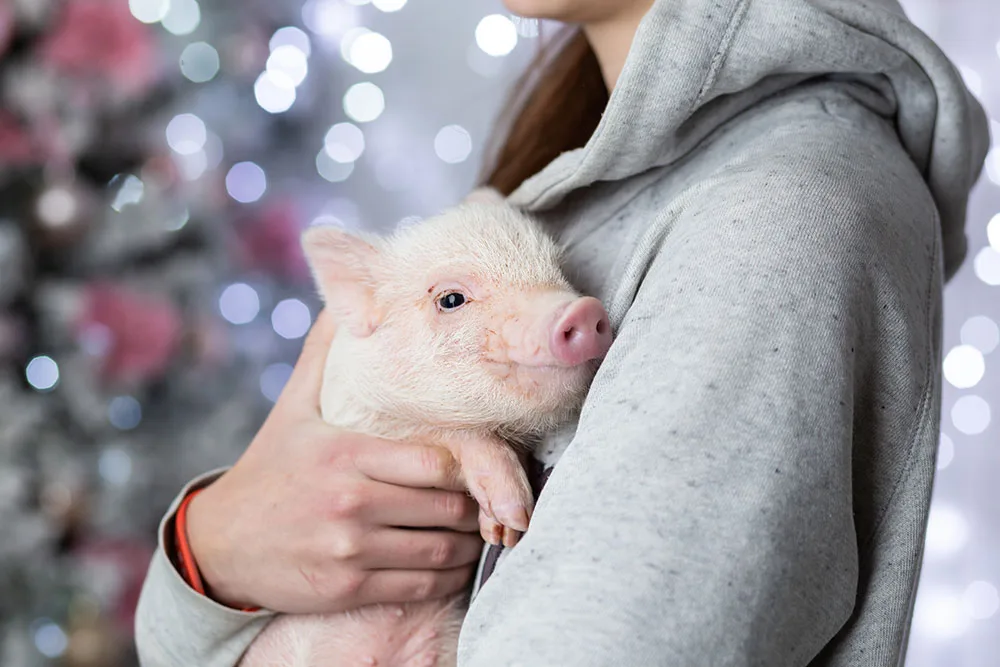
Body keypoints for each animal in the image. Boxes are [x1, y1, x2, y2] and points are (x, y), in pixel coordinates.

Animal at [238, 188, 613, 667]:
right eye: (451, 299)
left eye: (559, 271)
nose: (581, 310)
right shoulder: (358, 417)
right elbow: (457, 434)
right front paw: (511, 519)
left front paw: (502, 530)